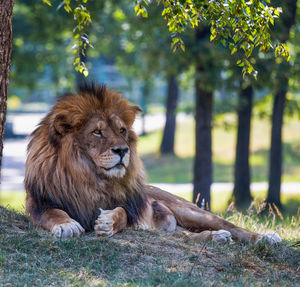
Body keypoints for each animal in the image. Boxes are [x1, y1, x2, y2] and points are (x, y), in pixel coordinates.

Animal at [25, 84, 282, 245]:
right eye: (97, 132)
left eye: (122, 130)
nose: (122, 150)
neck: (89, 177)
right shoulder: (39, 204)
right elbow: (54, 213)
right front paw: (67, 225)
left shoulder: (131, 209)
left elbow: (121, 213)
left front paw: (107, 222)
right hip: (171, 230)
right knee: (185, 237)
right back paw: (217, 237)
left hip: (191, 211)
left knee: (232, 227)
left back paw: (265, 238)